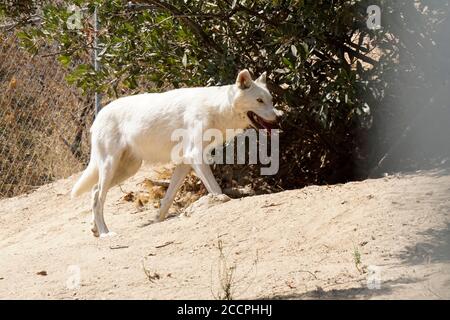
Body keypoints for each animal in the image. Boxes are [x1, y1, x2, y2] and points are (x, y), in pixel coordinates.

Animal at [71, 69, 278, 236]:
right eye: (259, 101)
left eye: (270, 100)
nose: (278, 118)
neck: (217, 108)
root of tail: (99, 115)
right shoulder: (195, 156)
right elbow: (216, 190)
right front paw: (220, 201)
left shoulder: (185, 162)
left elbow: (168, 198)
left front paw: (157, 221)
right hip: (110, 166)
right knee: (98, 197)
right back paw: (105, 233)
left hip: (127, 170)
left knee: (94, 190)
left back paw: (95, 229)